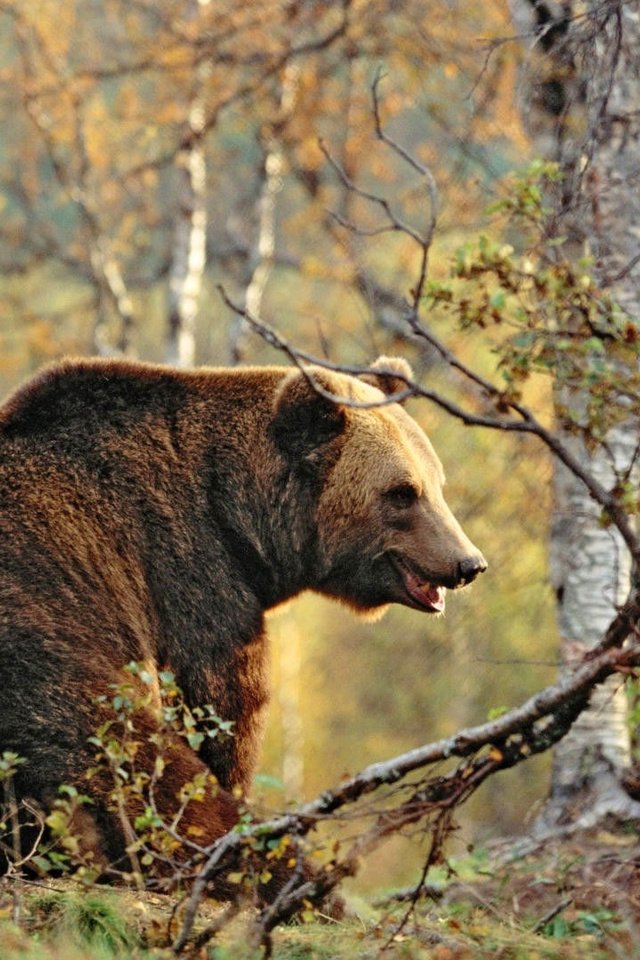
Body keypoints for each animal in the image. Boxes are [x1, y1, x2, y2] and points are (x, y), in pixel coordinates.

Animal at [0, 354, 482, 884]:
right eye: (401, 492)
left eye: (436, 484)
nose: (468, 563)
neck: (238, 518)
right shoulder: (187, 575)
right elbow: (224, 707)